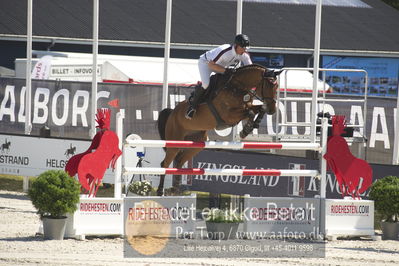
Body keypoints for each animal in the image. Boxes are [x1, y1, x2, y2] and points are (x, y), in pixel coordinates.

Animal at [155, 64, 280, 195]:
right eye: (269, 85)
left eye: (276, 86)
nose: (272, 110)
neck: (237, 87)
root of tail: (172, 112)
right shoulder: (228, 115)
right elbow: (250, 112)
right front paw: (245, 130)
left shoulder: (245, 107)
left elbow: (259, 109)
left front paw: (254, 124)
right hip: (174, 141)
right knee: (165, 163)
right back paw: (160, 191)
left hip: (196, 144)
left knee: (179, 161)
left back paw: (175, 188)